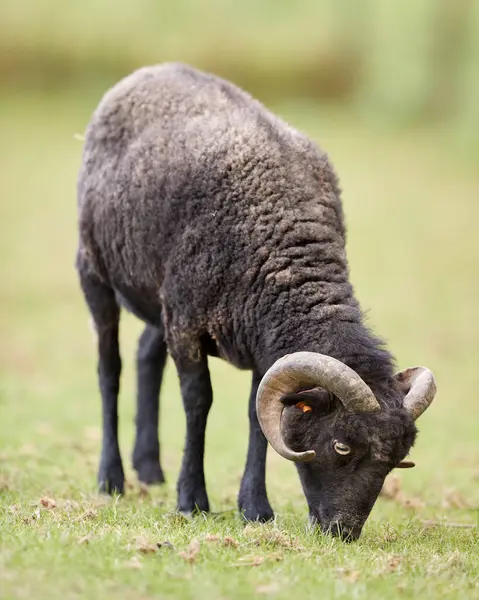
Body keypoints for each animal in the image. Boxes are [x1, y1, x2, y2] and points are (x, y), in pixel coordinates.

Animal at [76, 63, 438, 540]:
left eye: (397, 459)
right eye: (341, 445)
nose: (342, 533)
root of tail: (153, 70)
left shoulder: (261, 342)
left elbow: (256, 415)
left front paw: (255, 508)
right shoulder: (188, 325)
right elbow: (199, 402)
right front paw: (192, 501)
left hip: (159, 299)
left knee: (145, 355)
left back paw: (149, 468)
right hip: (95, 271)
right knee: (109, 370)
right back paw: (112, 478)